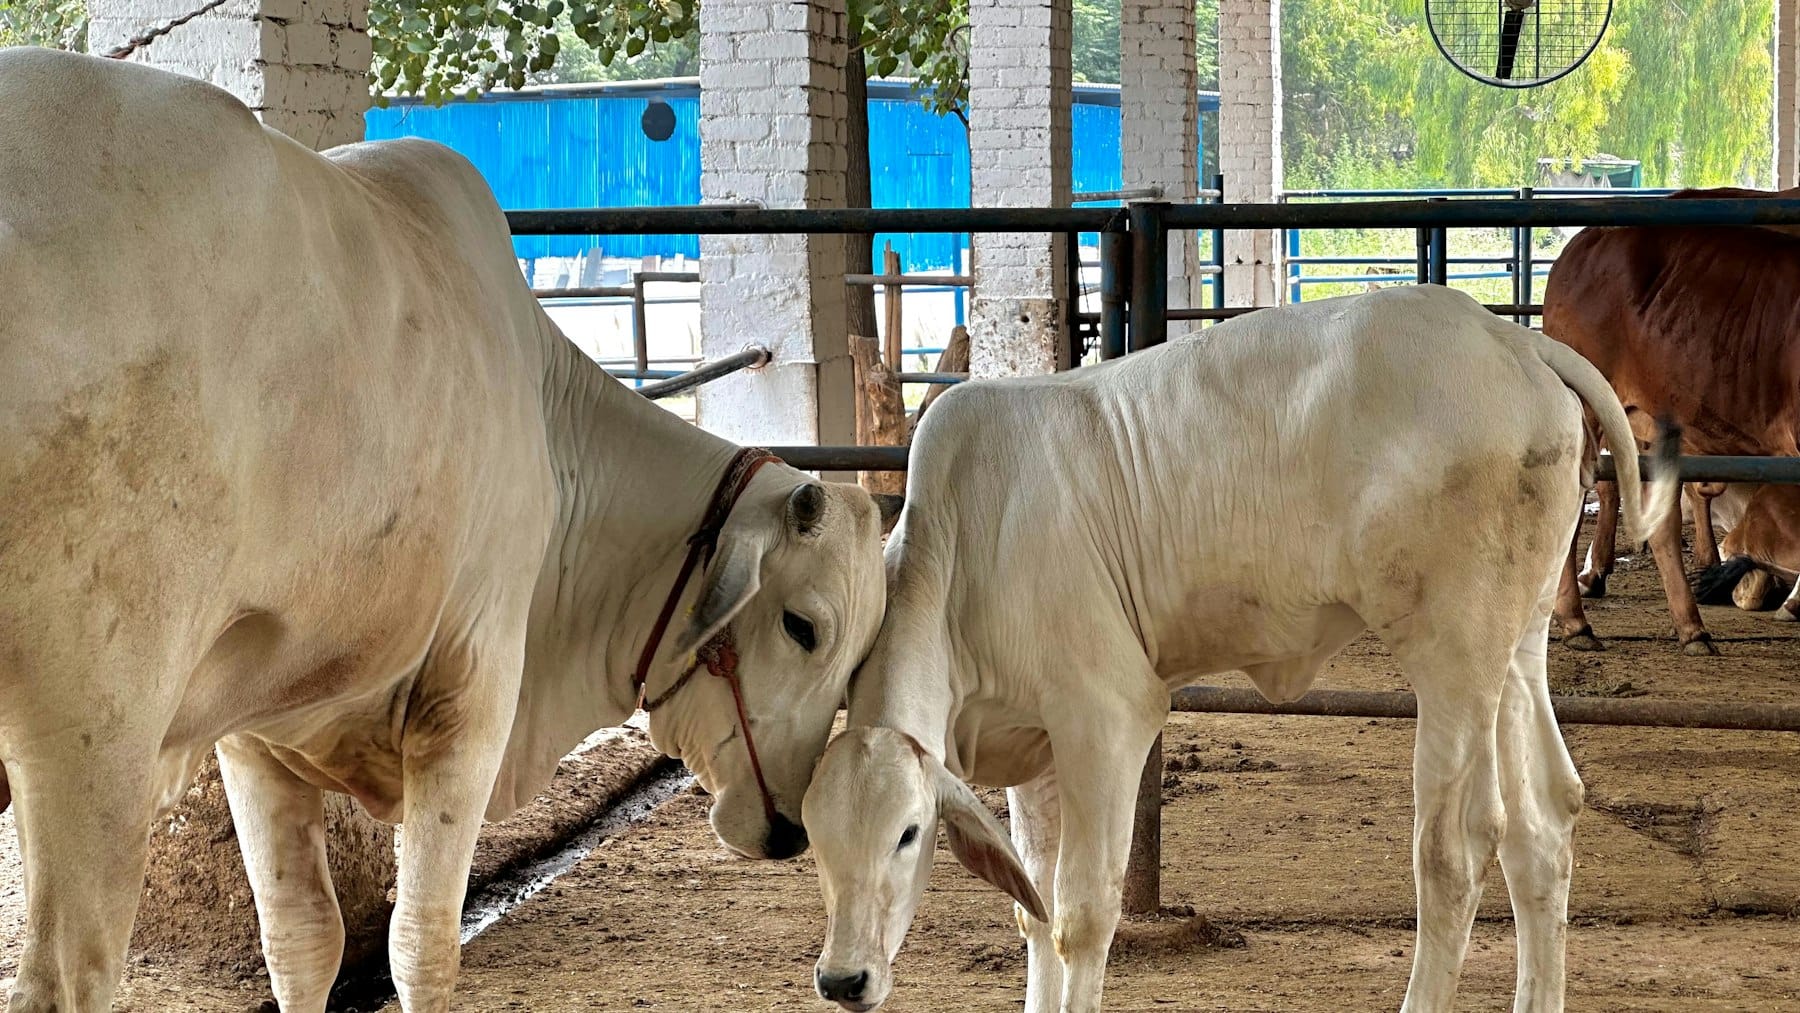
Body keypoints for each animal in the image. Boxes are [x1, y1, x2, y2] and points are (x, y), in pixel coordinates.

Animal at [0, 49, 894, 1012]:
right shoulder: (471, 687)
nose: (791, 829)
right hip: (96, 737)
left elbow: (302, 938)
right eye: (804, 627)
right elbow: (422, 944)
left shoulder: (255, 728)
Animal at [799, 286, 1676, 1013]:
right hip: (1514, 643)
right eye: (812, 837)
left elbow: (1081, 915)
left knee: (1454, 850)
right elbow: (1034, 912)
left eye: (910, 831)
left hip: (1452, 653)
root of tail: (1514, 339)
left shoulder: (1106, 720)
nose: (844, 978)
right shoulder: (1035, 749)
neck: (964, 551)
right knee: (1543, 823)